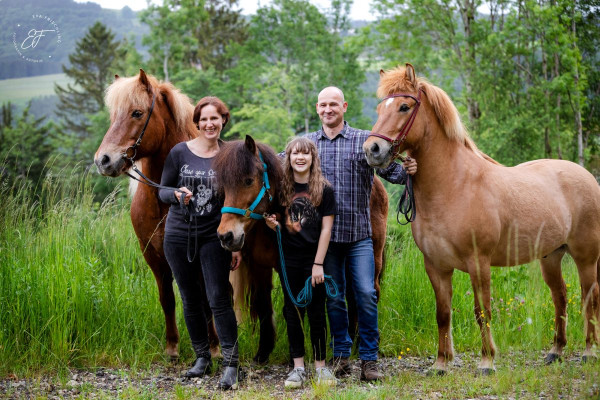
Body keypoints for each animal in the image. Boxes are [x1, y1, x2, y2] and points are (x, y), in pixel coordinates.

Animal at [95, 71, 220, 360]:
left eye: (137, 113)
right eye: (114, 115)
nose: (103, 160)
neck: (164, 199)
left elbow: (204, 299)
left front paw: (214, 346)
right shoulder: (152, 254)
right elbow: (167, 299)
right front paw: (172, 346)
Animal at [360, 64, 600, 374]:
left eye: (404, 106)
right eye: (380, 108)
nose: (372, 150)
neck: (454, 185)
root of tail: (587, 176)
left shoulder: (479, 263)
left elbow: (482, 311)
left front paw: (487, 361)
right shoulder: (436, 266)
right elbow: (443, 313)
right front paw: (441, 363)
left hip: (585, 256)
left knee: (588, 297)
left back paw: (589, 351)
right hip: (551, 256)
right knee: (560, 296)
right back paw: (555, 351)